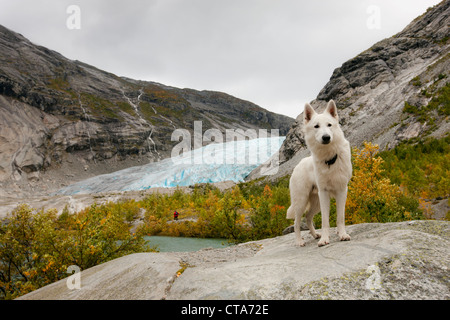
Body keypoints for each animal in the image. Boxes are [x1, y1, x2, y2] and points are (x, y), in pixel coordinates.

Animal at [286, 100, 354, 248]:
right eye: (316, 126)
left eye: (329, 125)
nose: (326, 137)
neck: (329, 158)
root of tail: (297, 165)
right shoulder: (324, 193)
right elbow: (325, 221)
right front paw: (324, 239)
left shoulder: (342, 191)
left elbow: (340, 217)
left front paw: (342, 234)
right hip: (301, 201)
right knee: (296, 222)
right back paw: (299, 241)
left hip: (315, 202)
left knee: (308, 217)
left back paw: (315, 234)